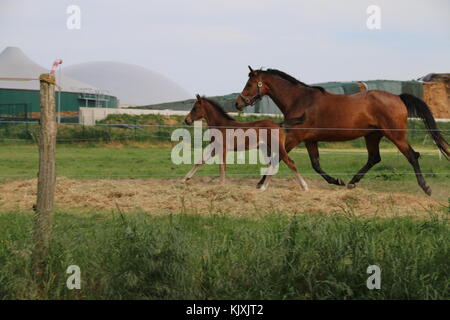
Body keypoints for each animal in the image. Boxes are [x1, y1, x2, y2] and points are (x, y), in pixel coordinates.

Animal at [234, 66, 448, 195]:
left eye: (249, 84)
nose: (237, 103)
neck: (300, 100)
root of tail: (398, 97)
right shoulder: (310, 140)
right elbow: (315, 164)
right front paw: (336, 181)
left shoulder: (295, 136)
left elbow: (276, 157)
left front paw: (260, 183)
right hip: (373, 136)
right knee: (374, 158)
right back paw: (352, 182)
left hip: (395, 135)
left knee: (412, 155)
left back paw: (426, 187)